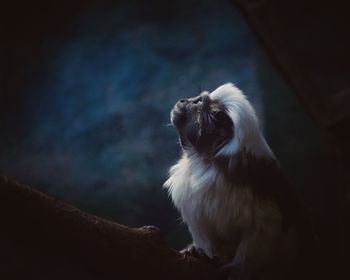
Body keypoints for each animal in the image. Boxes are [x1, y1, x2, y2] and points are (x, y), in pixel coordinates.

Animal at [164, 83, 314, 280]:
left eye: (197, 103)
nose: (182, 101)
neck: (208, 163)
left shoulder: (260, 189)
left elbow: (265, 224)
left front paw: (239, 268)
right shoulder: (190, 196)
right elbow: (202, 228)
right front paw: (202, 254)